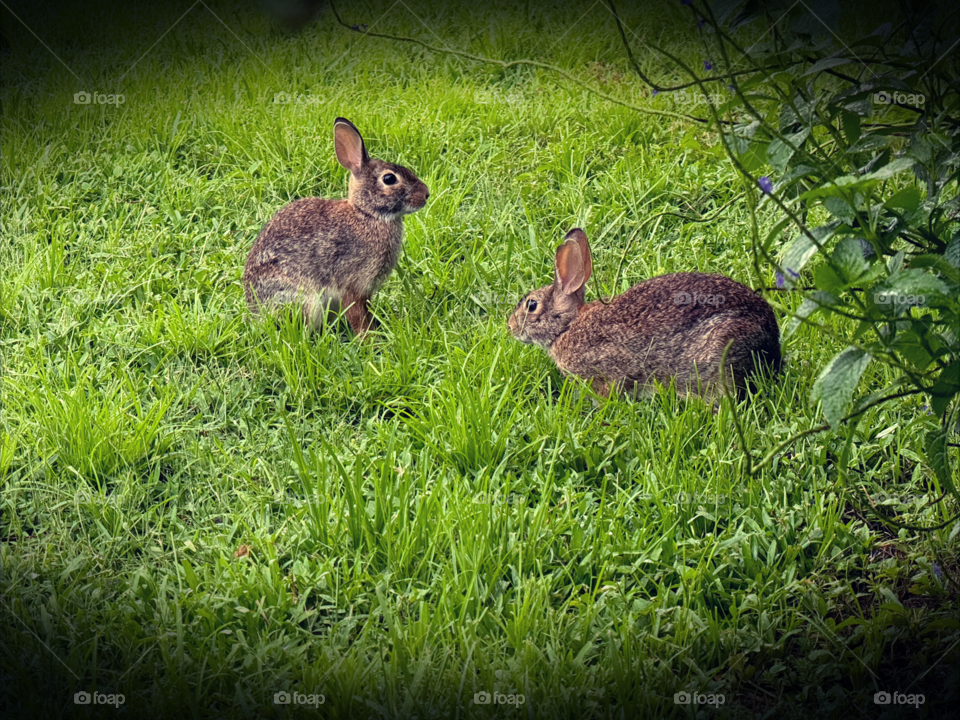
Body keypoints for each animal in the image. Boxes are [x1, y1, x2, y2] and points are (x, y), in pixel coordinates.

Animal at [242, 117, 430, 338]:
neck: (366, 214)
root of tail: (257, 314)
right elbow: (358, 317)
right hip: (304, 299)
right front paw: (370, 340)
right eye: (389, 179)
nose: (426, 194)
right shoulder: (353, 284)